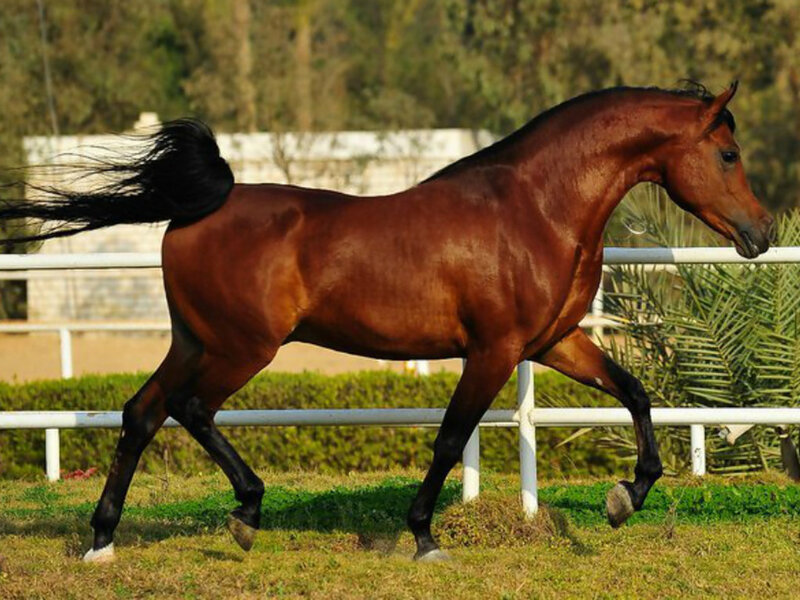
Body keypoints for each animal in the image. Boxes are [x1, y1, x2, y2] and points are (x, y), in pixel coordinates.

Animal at [0, 81, 773, 563]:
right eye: (728, 154)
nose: (761, 234)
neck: (535, 209)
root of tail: (200, 207)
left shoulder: (555, 342)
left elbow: (637, 394)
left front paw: (624, 498)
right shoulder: (493, 350)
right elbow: (450, 438)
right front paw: (425, 537)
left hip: (195, 342)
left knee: (141, 413)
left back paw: (102, 542)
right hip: (242, 348)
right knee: (191, 410)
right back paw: (246, 514)